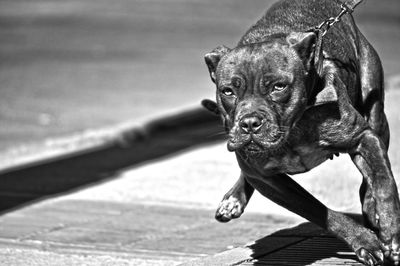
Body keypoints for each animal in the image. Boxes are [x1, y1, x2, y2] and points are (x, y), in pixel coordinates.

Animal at [203, 0, 400, 264]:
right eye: (227, 91)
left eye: (279, 87)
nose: (250, 123)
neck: (294, 128)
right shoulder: (265, 177)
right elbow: (320, 212)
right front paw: (365, 241)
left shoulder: (364, 137)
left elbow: (384, 181)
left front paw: (390, 231)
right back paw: (233, 198)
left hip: (376, 112)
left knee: (371, 178)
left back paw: (372, 207)